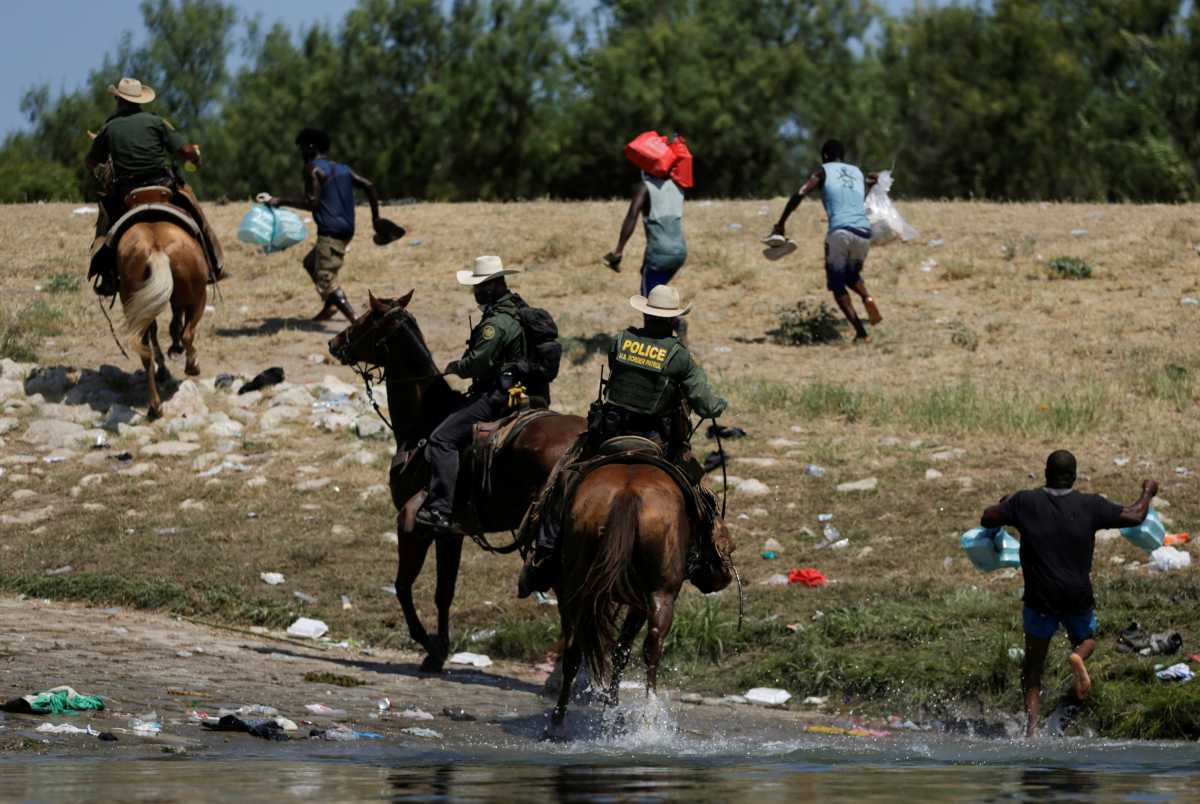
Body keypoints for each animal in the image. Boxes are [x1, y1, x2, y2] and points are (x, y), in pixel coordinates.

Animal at [115, 222, 208, 420]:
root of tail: (156, 247)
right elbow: (176, 326)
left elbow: (162, 328)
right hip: (198, 299)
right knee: (188, 333)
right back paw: (192, 366)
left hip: (135, 306)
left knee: (145, 352)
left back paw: (155, 406)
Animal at [331, 291, 588, 672]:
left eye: (364, 319)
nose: (334, 342)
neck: (425, 421)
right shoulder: (451, 533)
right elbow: (444, 593)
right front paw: (439, 650)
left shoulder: (414, 526)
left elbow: (403, 585)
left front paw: (430, 645)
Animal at [549, 463, 729, 734]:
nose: (723, 575)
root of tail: (627, 493)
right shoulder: (641, 602)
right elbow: (622, 651)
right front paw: (614, 711)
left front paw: (610, 711)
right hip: (660, 592)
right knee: (652, 646)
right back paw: (649, 716)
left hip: (578, 586)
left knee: (573, 648)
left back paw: (557, 721)